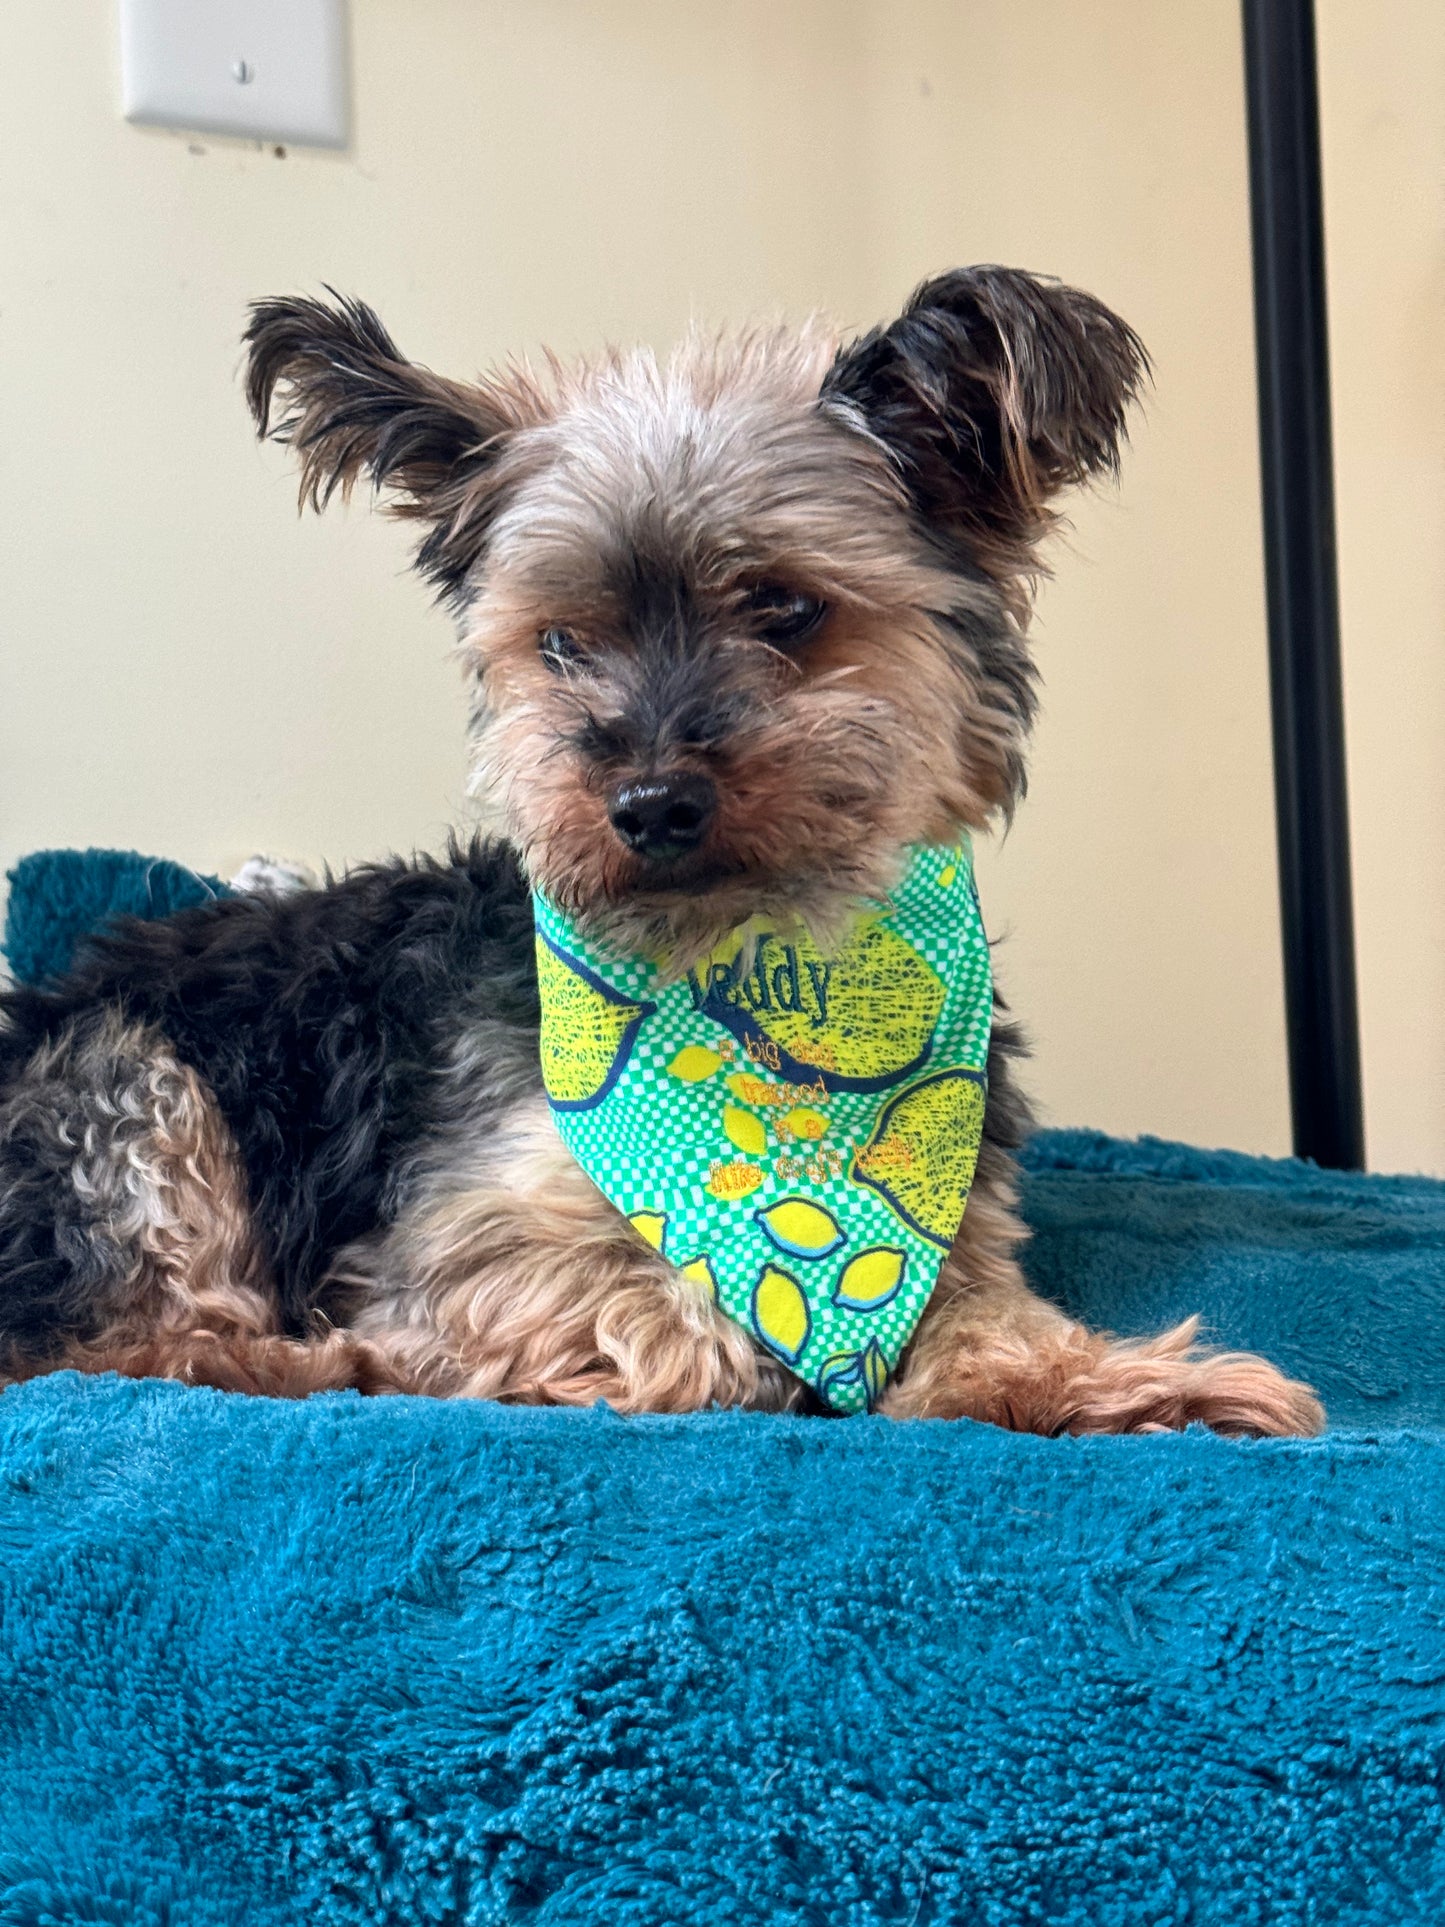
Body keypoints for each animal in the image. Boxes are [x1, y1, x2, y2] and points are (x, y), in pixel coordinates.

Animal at [0, 271, 1325, 1441]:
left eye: (784, 607)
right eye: (561, 643)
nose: (646, 804)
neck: (751, 969)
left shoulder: (956, 1235)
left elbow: (978, 1322)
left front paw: (1130, 1384)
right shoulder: (461, 1232)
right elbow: (695, 1331)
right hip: (126, 1082)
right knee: (120, 1342)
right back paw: (317, 1363)